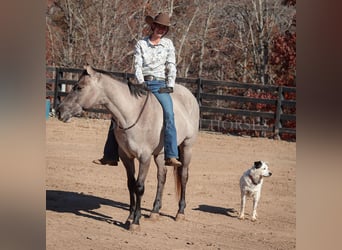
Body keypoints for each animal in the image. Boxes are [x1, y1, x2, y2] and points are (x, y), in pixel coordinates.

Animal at [56, 65, 200, 229]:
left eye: (79, 87)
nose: (59, 111)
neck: (132, 114)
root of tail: (189, 95)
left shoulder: (144, 158)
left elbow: (139, 186)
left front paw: (136, 221)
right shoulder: (126, 157)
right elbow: (131, 184)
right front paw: (130, 217)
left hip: (187, 146)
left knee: (183, 176)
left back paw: (180, 212)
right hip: (160, 153)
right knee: (162, 176)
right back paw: (155, 211)